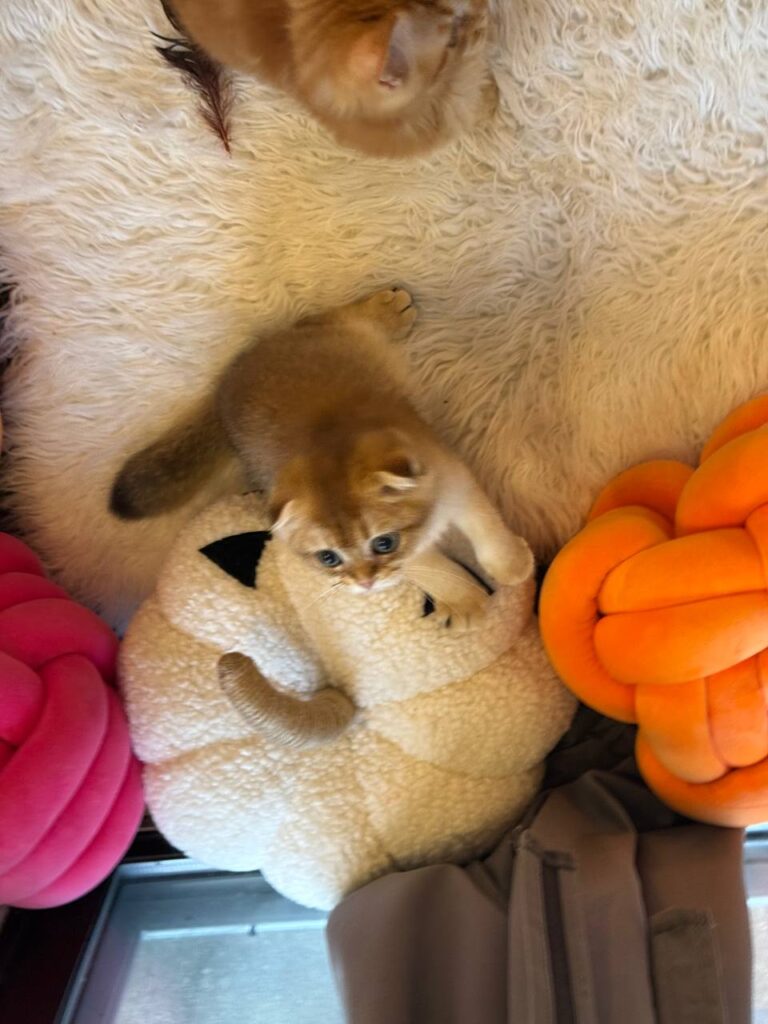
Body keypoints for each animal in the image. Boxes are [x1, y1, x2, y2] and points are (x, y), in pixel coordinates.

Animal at [111, 286, 536, 622]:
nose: (364, 582)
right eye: (328, 558)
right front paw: (464, 598)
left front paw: (511, 565)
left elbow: (486, 526)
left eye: (383, 543)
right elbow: (424, 564)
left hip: (325, 334)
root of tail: (224, 387)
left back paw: (385, 311)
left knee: (326, 317)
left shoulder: (456, 480)